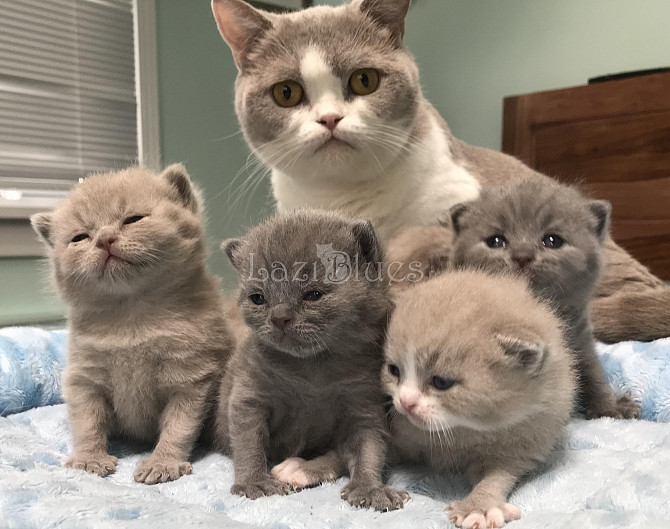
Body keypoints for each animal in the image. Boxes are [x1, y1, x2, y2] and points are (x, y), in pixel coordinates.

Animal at [31, 165, 234, 482]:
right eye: (80, 237)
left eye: (133, 219)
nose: (104, 239)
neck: (131, 313)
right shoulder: (84, 378)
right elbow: (86, 421)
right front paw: (88, 459)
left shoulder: (191, 377)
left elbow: (179, 425)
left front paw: (162, 463)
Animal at [218, 209, 412, 512]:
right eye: (258, 298)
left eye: (313, 295)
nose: (279, 317)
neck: (314, 367)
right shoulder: (248, 395)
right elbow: (249, 440)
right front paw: (255, 483)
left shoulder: (364, 404)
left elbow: (369, 447)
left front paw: (370, 488)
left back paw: (298, 469)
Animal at [384, 270, 576, 524]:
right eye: (394, 370)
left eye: (441, 382)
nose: (406, 403)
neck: (460, 432)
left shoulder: (521, 444)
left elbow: (496, 477)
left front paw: (478, 506)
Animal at [448, 177, 644, 420]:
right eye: (495, 241)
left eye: (552, 240)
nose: (522, 255)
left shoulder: (581, 339)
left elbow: (594, 373)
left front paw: (611, 408)